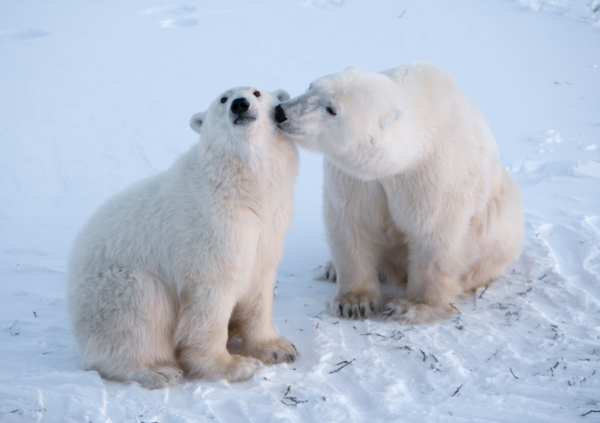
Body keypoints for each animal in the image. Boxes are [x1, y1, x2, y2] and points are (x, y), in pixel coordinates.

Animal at [68, 87, 300, 390]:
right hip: (113, 287)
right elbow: (210, 299)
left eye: (257, 92)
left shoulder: (268, 224)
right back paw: (157, 371)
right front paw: (234, 366)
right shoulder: (210, 230)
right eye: (223, 99)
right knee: (141, 310)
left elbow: (259, 285)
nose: (240, 104)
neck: (240, 187)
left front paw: (279, 348)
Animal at [276, 61, 524, 324]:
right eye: (311, 86)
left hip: (503, 214)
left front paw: (410, 306)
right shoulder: (357, 179)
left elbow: (434, 234)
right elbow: (352, 221)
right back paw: (331, 268)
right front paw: (354, 303)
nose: (281, 111)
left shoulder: (435, 175)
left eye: (331, 109)